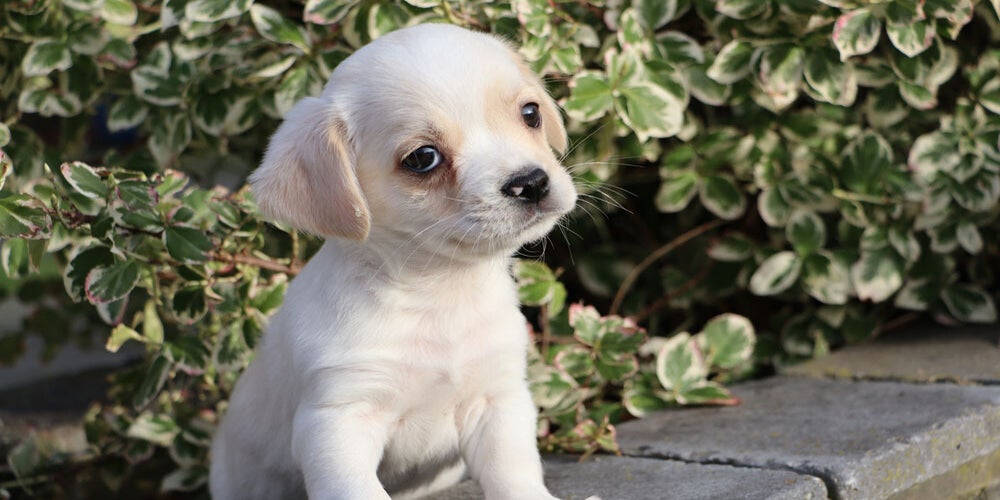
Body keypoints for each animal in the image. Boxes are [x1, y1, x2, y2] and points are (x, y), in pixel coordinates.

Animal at [209, 23, 577, 500]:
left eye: (530, 113)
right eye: (423, 158)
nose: (530, 183)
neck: (439, 292)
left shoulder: (497, 400)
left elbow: (514, 473)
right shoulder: (338, 422)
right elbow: (358, 491)